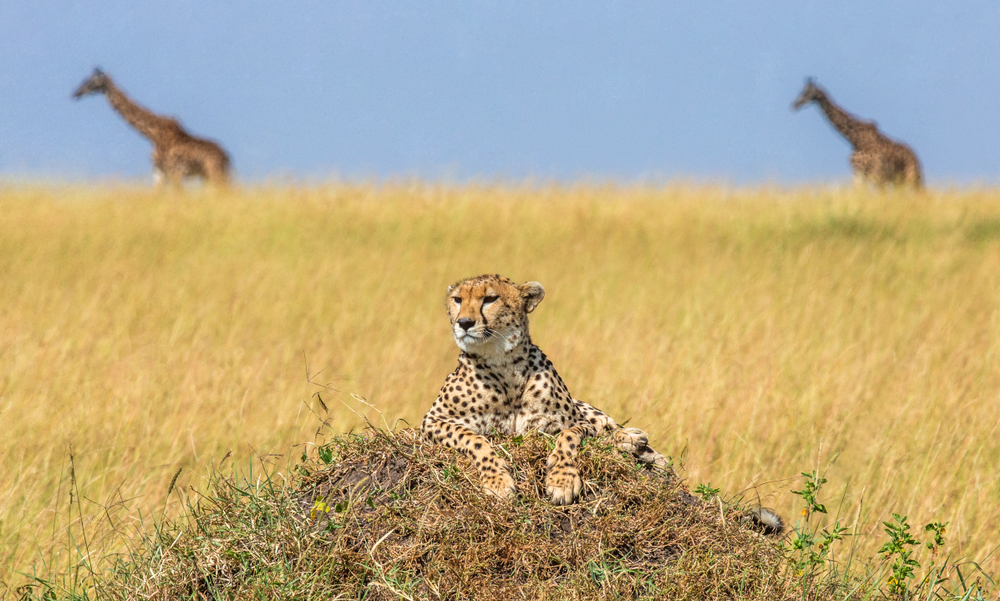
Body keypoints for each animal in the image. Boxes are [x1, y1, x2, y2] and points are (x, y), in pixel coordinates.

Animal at [73, 68, 231, 186]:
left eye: (91, 82)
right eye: (85, 80)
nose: (75, 93)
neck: (152, 135)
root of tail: (227, 158)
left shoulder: (174, 172)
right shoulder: (158, 172)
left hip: (214, 173)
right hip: (208, 176)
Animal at [418, 274, 668, 504]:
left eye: (490, 299)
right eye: (457, 299)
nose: (464, 322)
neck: (502, 364)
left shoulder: (573, 422)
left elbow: (569, 437)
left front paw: (562, 481)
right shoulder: (431, 422)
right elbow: (473, 439)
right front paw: (498, 481)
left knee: (606, 432)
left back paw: (635, 440)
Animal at [792, 77, 924, 189]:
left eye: (806, 92)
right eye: (802, 91)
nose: (794, 105)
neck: (855, 140)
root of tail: (916, 157)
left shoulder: (875, 173)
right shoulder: (858, 173)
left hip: (911, 176)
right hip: (898, 180)